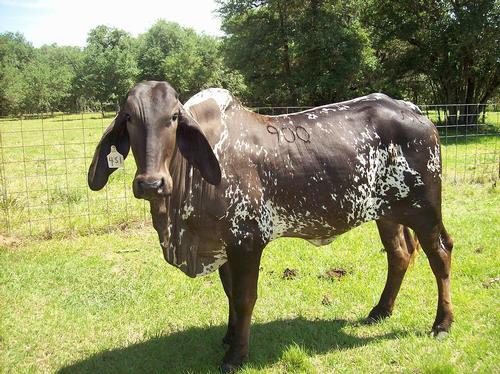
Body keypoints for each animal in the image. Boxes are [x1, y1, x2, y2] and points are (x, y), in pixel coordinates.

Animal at [89, 80, 454, 372]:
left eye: (174, 118)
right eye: (129, 118)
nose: (151, 183)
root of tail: (413, 109)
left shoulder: (247, 241)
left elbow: (244, 297)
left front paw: (236, 355)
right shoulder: (224, 244)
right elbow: (230, 293)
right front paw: (229, 336)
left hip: (425, 210)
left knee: (440, 255)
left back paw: (442, 323)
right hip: (387, 214)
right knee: (399, 254)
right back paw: (380, 310)